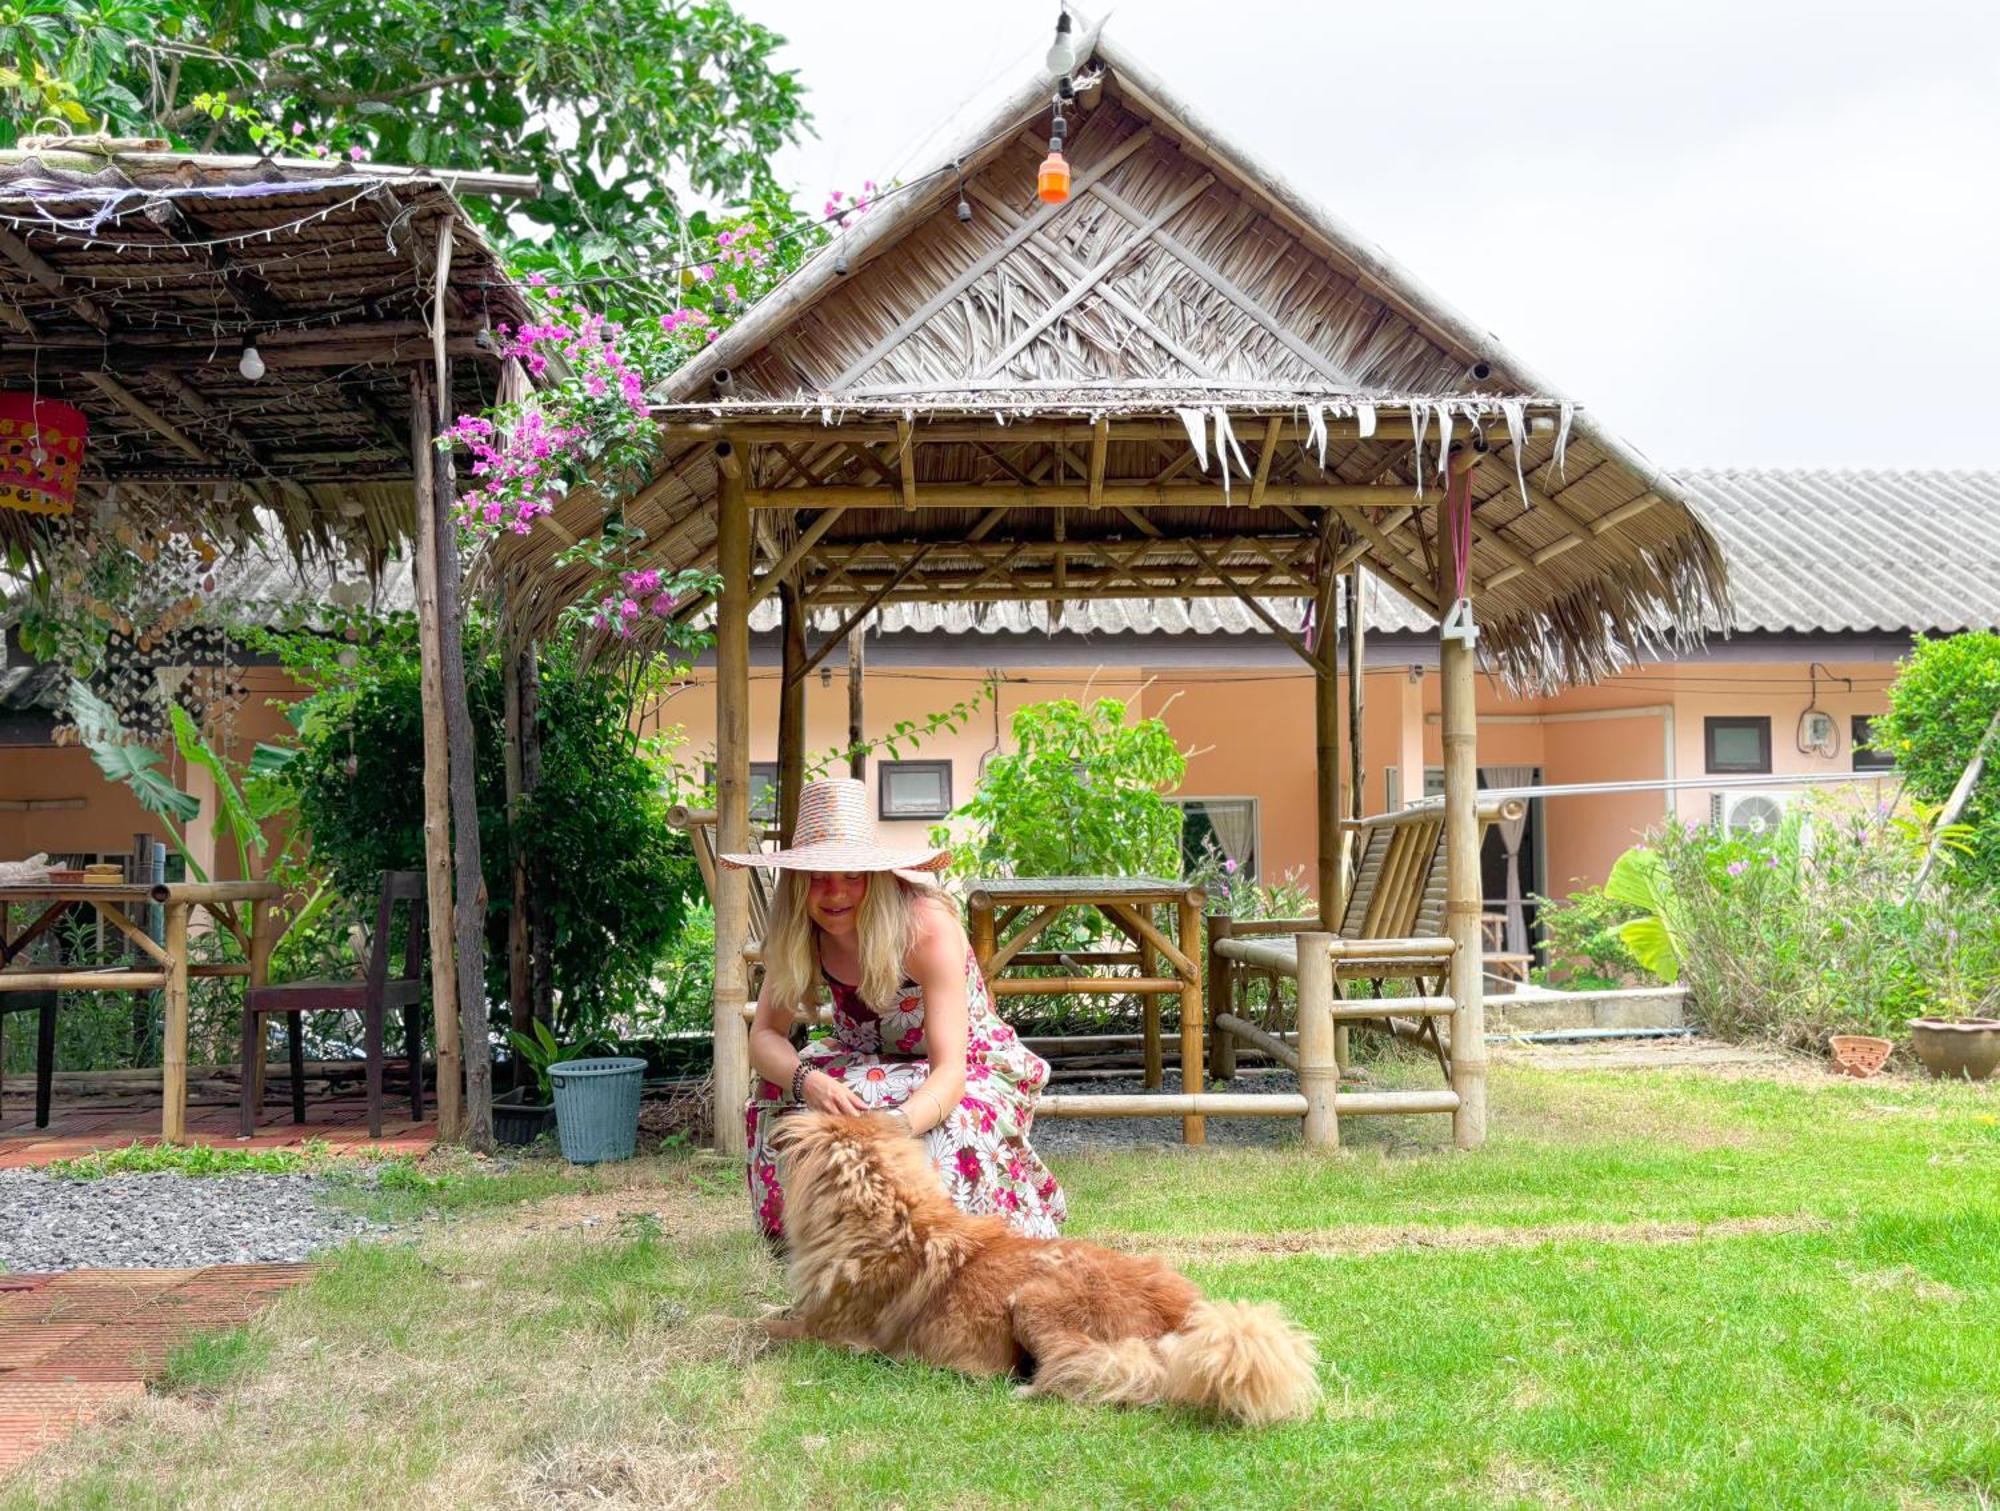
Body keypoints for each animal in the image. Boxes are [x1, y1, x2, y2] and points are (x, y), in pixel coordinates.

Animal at [760, 1119, 1312, 1423]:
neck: (891, 1220)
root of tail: (1188, 1315)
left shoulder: (831, 1332)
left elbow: (761, 1327)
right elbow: (771, 1312)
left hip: (1033, 1302)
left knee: (1093, 1370)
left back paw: (1025, 1389)